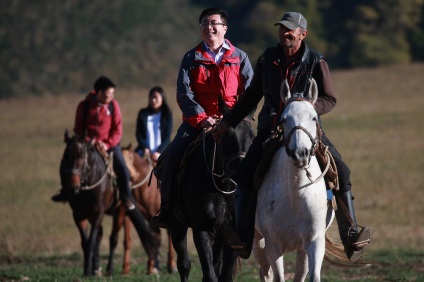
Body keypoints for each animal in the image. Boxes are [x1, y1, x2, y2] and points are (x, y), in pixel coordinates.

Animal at [60, 132, 158, 276]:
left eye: (82, 156)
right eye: (66, 156)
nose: (73, 186)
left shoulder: (99, 212)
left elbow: (93, 240)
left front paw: (89, 270)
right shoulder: (78, 214)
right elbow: (86, 242)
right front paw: (88, 269)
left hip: (120, 211)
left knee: (113, 239)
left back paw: (109, 269)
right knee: (101, 235)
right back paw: (97, 268)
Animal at [107, 145, 178, 276]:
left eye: (131, 157)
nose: (129, 174)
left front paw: (153, 267)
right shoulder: (130, 216)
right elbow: (132, 240)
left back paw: (171, 266)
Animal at [253, 79, 332, 282]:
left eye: (314, 118)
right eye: (283, 119)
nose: (300, 153)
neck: (296, 194)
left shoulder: (314, 241)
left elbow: (312, 275)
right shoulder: (273, 245)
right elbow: (278, 277)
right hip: (258, 242)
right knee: (265, 272)